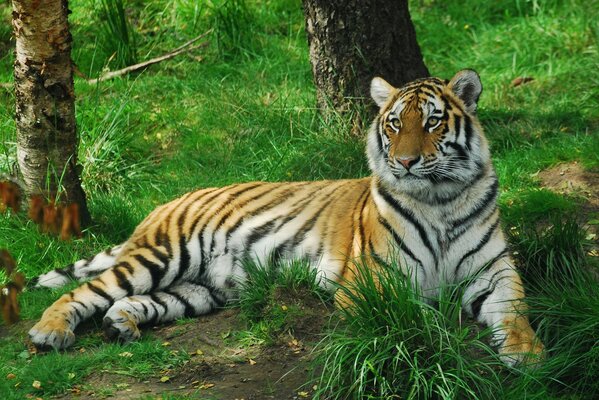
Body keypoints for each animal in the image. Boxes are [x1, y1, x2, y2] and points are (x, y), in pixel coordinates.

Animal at [27, 69, 544, 366]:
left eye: (433, 121)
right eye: (395, 123)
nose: (405, 162)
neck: (440, 201)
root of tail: (164, 203)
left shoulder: (494, 272)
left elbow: (516, 312)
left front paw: (528, 354)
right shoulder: (375, 281)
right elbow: (414, 318)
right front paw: (438, 337)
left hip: (202, 288)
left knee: (132, 301)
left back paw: (121, 325)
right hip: (163, 255)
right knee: (84, 292)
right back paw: (49, 333)